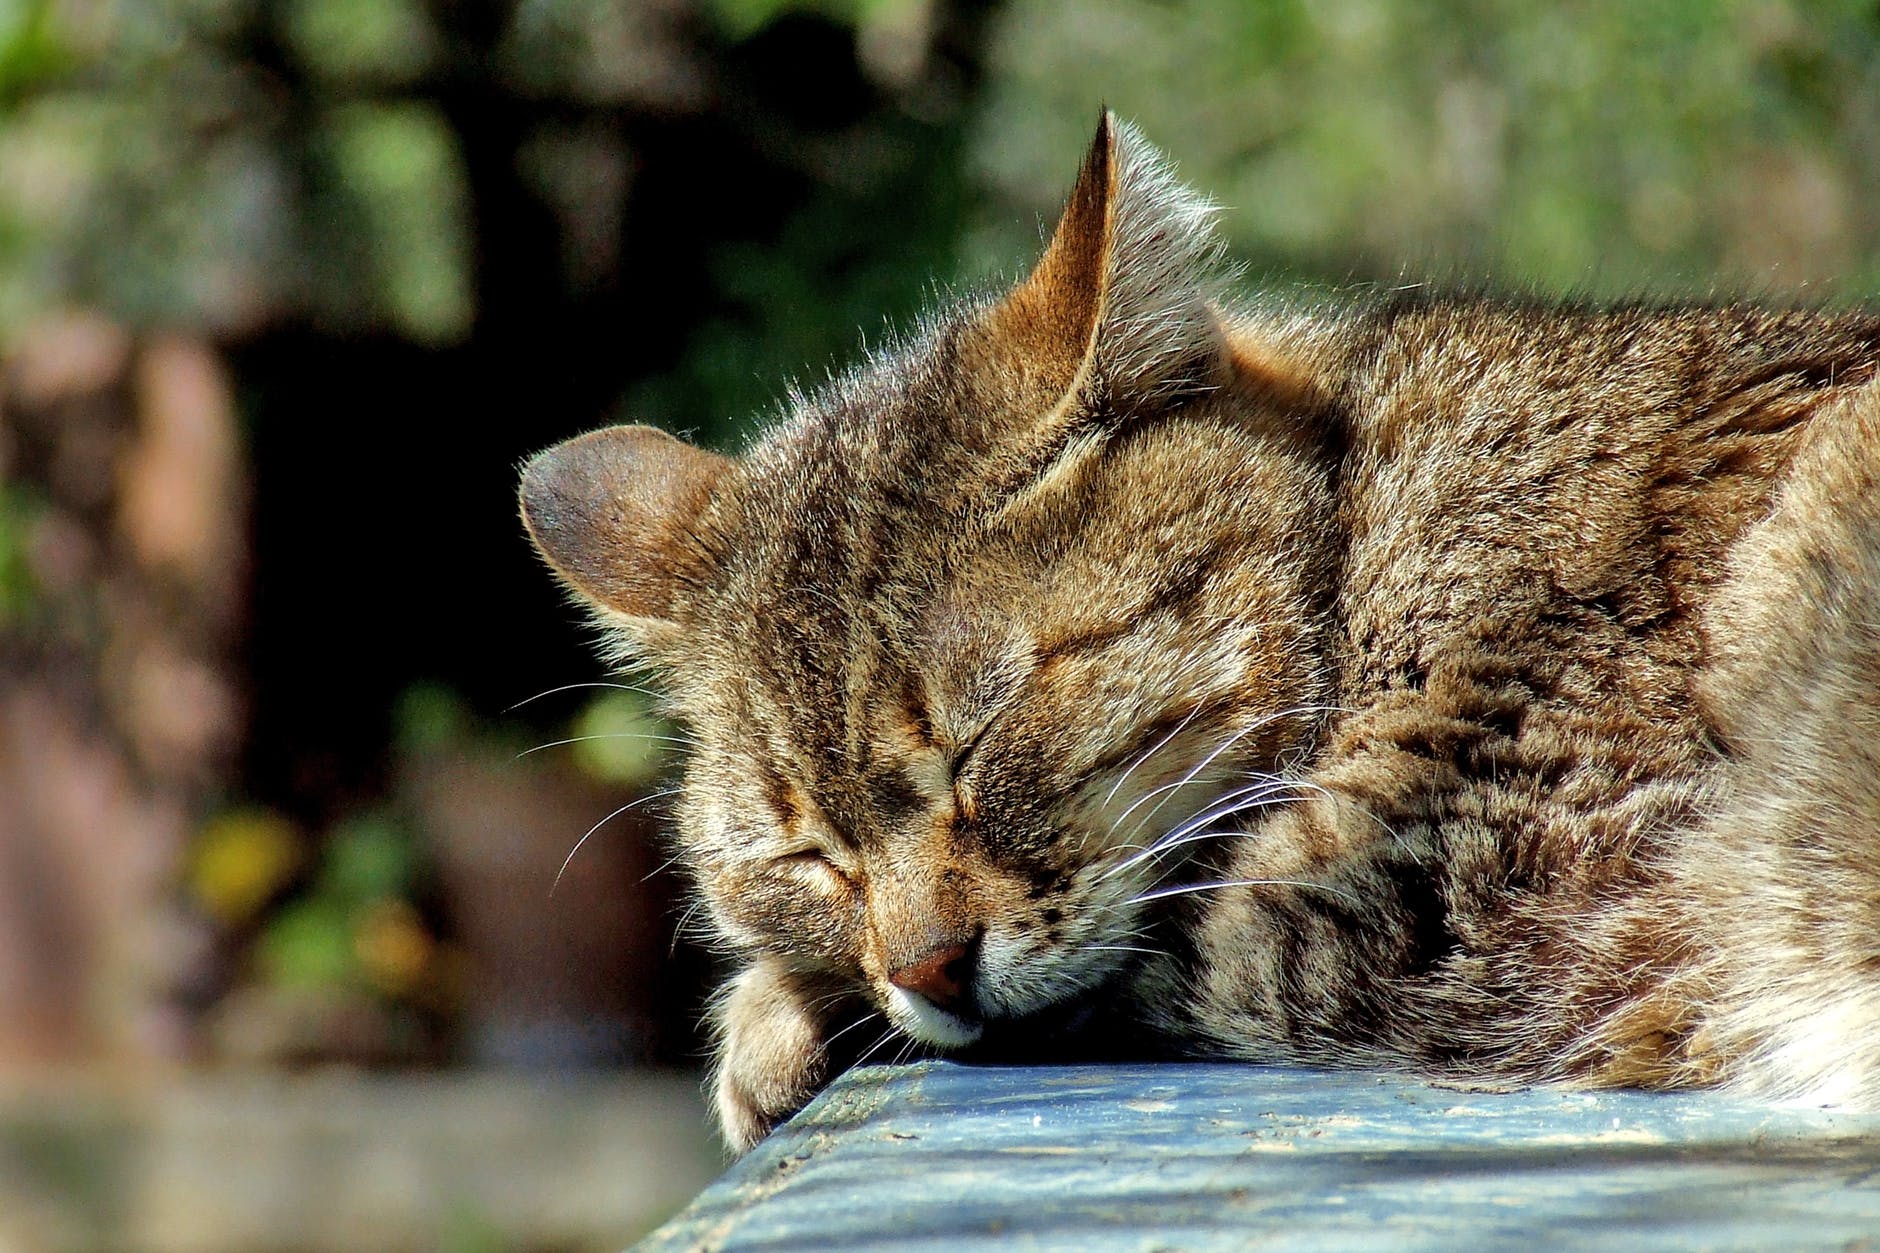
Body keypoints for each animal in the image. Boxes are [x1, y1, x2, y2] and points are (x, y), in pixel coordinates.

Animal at [515, 112, 1880, 1143]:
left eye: (976, 743)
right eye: (807, 854)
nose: (926, 970)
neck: (1368, 530)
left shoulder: (1451, 879)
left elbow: (1140, 948)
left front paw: (768, 1017)